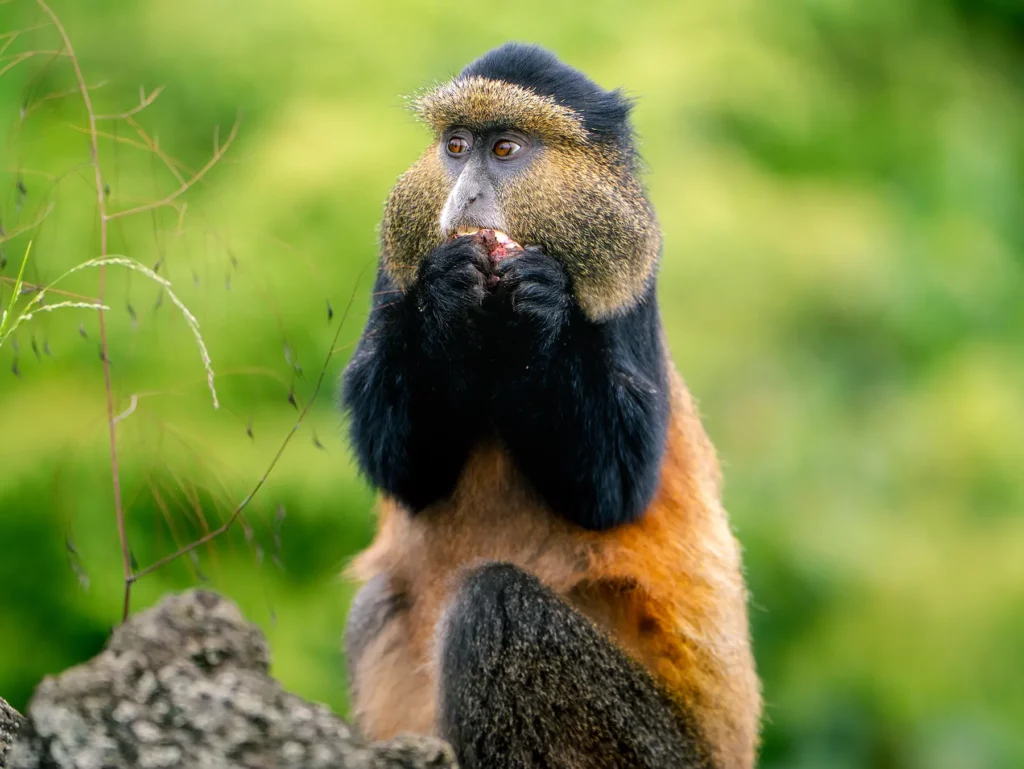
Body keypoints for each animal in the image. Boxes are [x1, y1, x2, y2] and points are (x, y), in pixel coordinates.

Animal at [341, 43, 761, 769]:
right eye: (456, 146)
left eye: (506, 148)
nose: (464, 196)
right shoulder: (395, 269)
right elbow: (404, 470)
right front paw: (445, 291)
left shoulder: (631, 284)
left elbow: (613, 490)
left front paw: (543, 299)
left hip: (651, 747)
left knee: (495, 603)